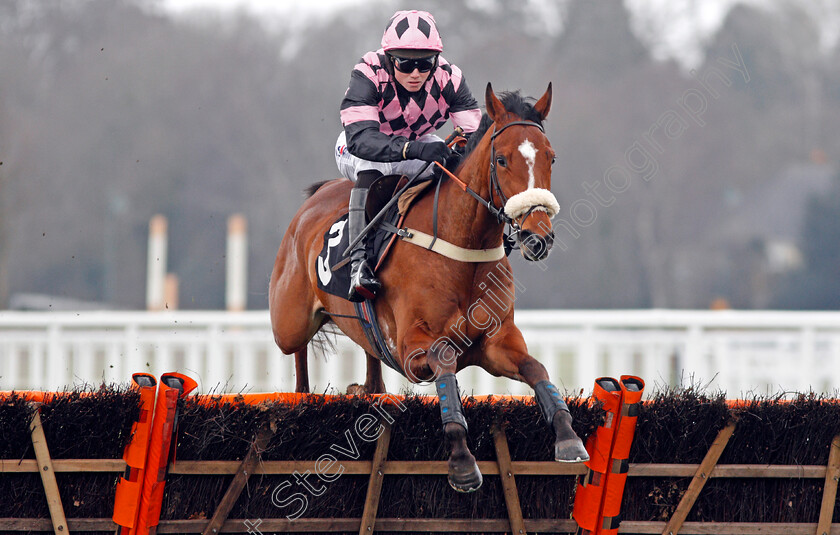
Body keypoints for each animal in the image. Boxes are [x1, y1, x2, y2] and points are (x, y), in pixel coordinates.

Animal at [272, 82, 588, 490]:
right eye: (502, 160)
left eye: (551, 158)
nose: (538, 237)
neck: (462, 248)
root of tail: (317, 196)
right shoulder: (411, 347)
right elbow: (444, 359)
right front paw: (461, 459)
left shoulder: (496, 342)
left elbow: (536, 369)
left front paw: (568, 437)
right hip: (289, 321)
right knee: (297, 348)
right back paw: (302, 394)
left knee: (369, 357)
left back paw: (363, 388)